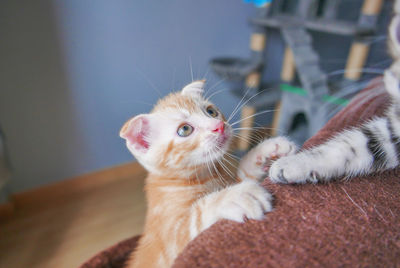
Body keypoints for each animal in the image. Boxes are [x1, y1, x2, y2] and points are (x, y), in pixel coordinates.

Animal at [119, 81, 290, 268]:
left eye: (211, 111)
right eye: (184, 129)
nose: (219, 126)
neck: (204, 175)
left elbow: (243, 175)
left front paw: (264, 152)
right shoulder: (169, 246)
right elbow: (195, 218)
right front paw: (233, 197)